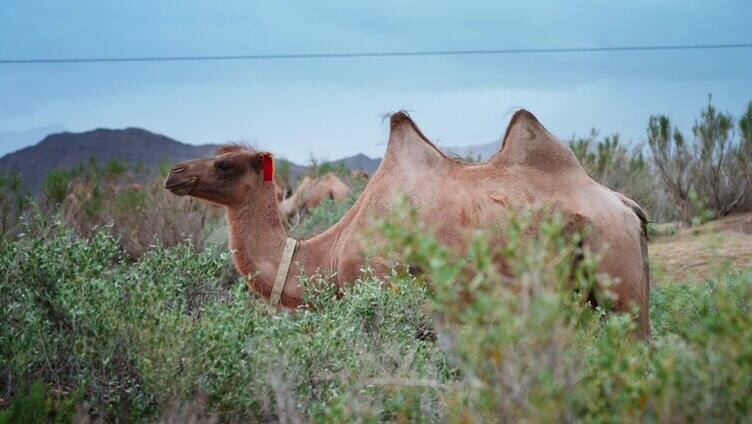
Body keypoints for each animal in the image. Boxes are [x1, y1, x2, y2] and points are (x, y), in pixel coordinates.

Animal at [166, 109, 652, 338]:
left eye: (225, 164)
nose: (175, 173)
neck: (332, 250)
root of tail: (628, 205)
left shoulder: (386, 292)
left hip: (616, 270)